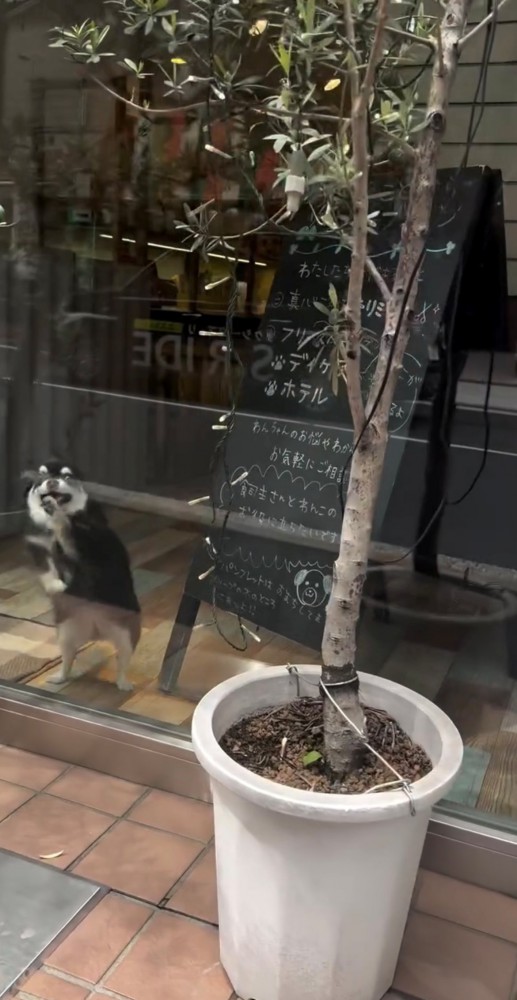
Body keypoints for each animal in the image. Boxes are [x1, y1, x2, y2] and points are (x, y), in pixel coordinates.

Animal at [23, 462, 140, 692]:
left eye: (67, 477)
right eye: (42, 477)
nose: (51, 482)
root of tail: (95, 631)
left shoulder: (87, 544)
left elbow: (67, 532)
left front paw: (57, 513)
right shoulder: (51, 555)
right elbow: (50, 565)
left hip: (126, 636)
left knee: (122, 663)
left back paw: (123, 683)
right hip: (65, 634)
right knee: (68, 660)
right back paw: (60, 676)